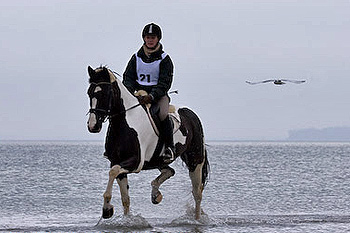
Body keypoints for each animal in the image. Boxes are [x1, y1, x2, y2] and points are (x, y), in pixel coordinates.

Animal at [86, 65, 209, 220]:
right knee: (170, 171)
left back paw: (197, 219)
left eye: (105, 94)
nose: (93, 126)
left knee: (197, 193)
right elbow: (125, 198)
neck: (124, 123)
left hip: (195, 161)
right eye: (89, 93)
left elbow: (112, 172)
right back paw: (156, 194)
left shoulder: (135, 162)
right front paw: (124, 218)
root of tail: (191, 114)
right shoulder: (117, 161)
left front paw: (107, 208)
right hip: (158, 160)